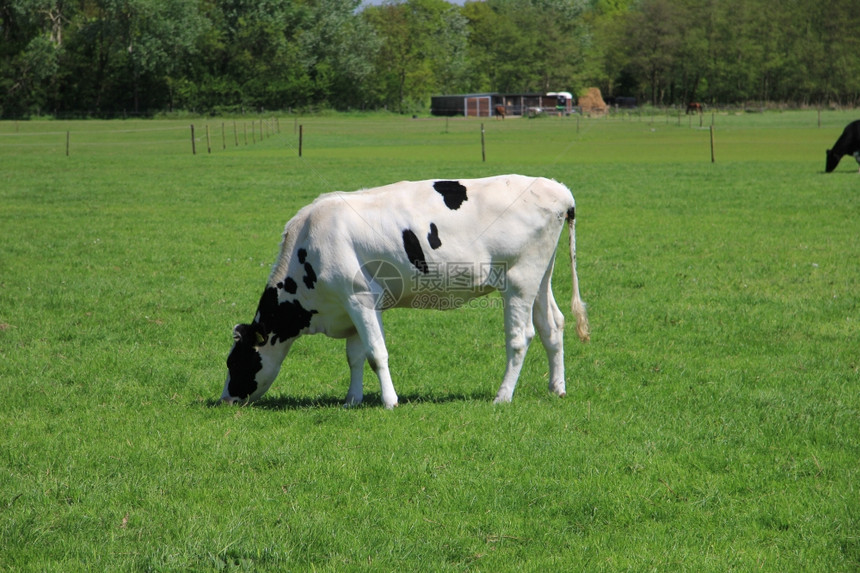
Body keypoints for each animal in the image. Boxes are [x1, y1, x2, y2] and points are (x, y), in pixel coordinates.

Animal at [222, 173, 592, 406]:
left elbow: (376, 353)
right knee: (552, 326)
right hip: (540, 277)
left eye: (235, 362)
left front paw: (389, 401)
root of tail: (557, 189)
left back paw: (502, 396)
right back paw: (557, 388)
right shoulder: (358, 305)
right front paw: (352, 400)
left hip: (519, 279)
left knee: (521, 336)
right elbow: (355, 356)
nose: (226, 399)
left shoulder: (358, 297)